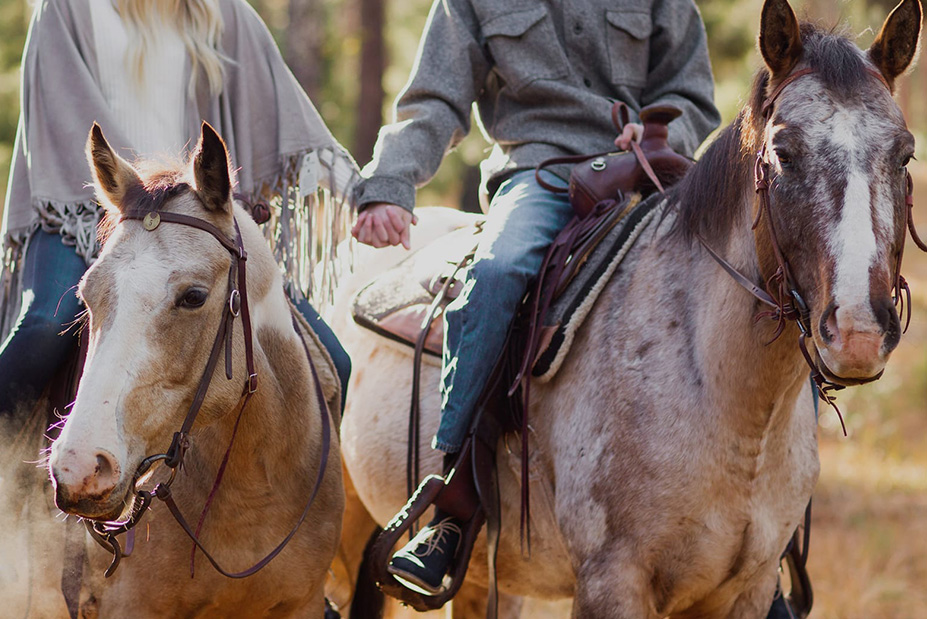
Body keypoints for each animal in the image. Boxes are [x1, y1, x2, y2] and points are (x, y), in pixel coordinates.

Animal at [332, 0, 920, 616]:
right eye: (783, 152)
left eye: (905, 155)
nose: (857, 332)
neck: (727, 403)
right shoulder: (611, 580)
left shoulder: (747, 589)